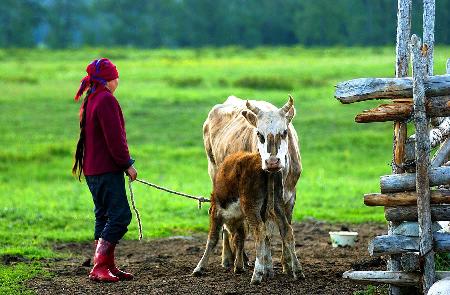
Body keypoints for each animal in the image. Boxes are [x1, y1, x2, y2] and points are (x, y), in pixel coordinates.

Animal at [192, 151, 304, 286]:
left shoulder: (216, 212)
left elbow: (212, 239)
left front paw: (199, 267)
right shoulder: (241, 219)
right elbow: (239, 238)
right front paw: (239, 266)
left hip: (251, 207)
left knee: (260, 231)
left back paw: (257, 275)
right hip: (277, 204)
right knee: (286, 230)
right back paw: (297, 271)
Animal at [200, 95, 302, 280]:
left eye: (284, 132)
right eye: (259, 133)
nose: (272, 162)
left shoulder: (290, 198)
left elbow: (286, 229)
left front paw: (287, 264)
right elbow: (265, 233)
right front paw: (266, 267)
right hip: (217, 179)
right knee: (228, 226)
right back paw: (228, 258)